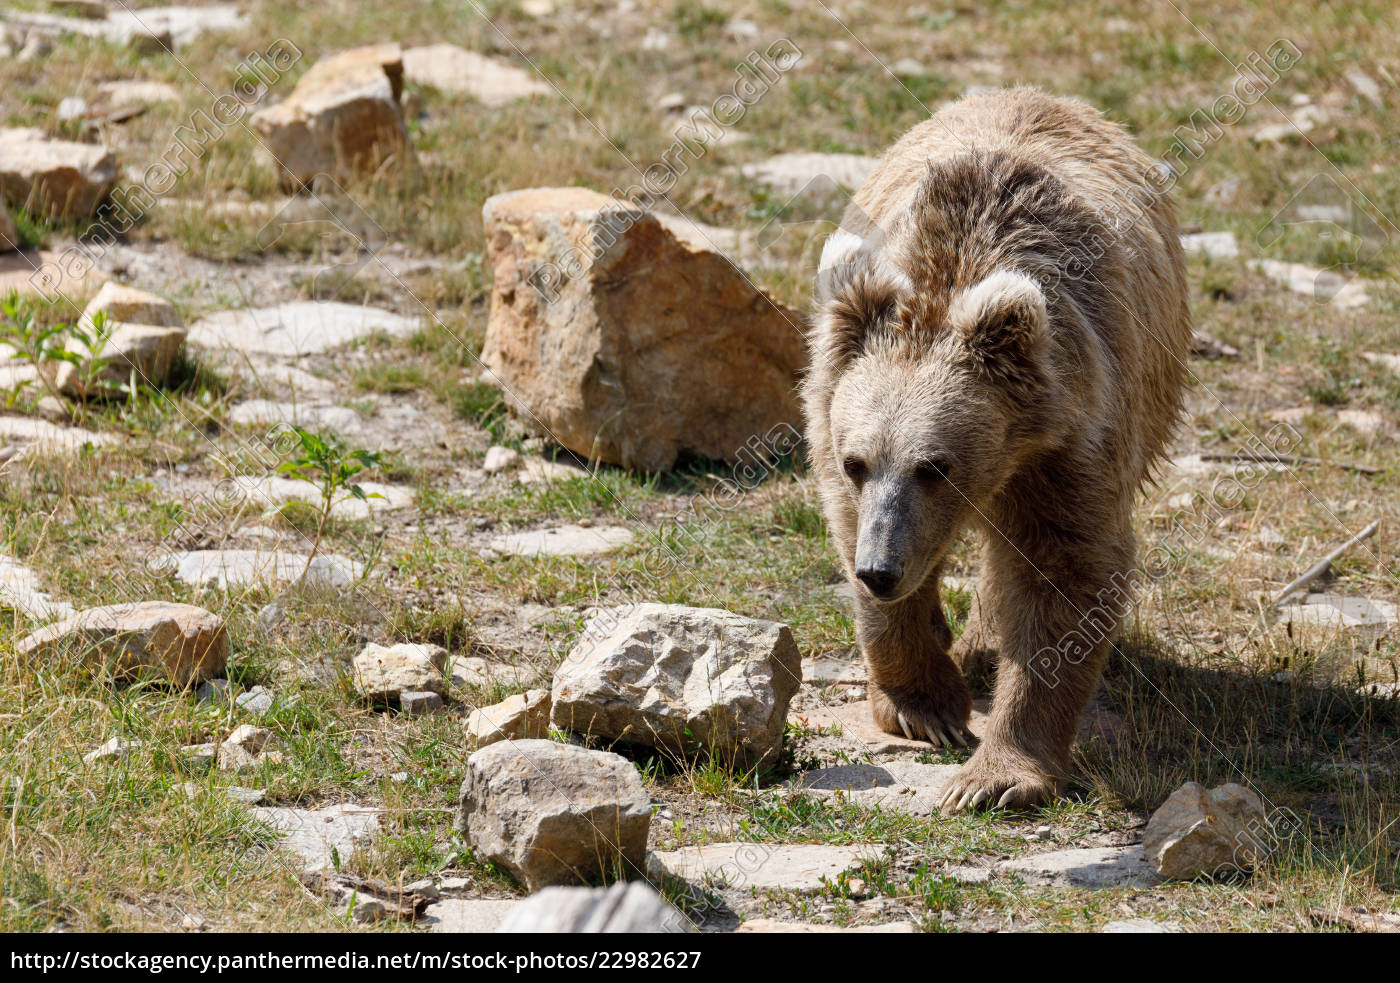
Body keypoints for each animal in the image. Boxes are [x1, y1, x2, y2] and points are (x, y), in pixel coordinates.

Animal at [806, 88, 1187, 817]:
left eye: (935, 465)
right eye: (856, 461)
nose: (880, 570)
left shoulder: (1069, 443)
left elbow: (1062, 572)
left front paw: (996, 775)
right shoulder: (832, 413)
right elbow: (848, 528)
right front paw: (925, 704)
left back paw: (984, 644)